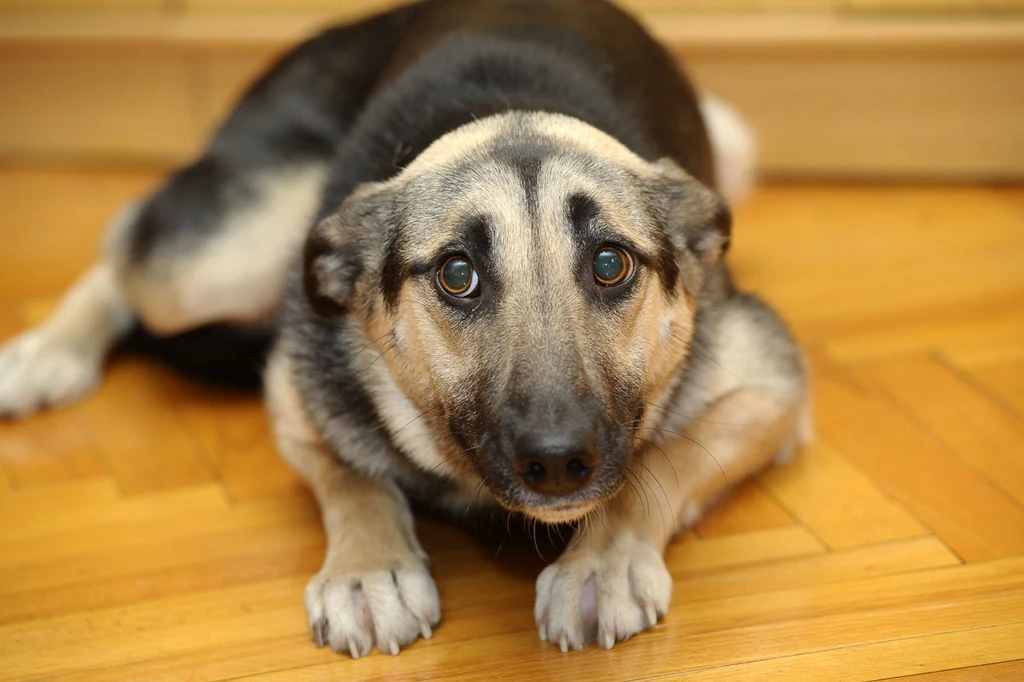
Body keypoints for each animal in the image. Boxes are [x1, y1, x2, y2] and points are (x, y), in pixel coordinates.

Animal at [0, 0, 806, 659]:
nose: (556, 462)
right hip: (214, 258)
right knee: (125, 244)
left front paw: (601, 561)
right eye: (457, 274)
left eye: (611, 263)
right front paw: (369, 568)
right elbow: (351, 471)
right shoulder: (295, 390)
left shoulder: (773, 388)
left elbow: (661, 460)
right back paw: (46, 352)